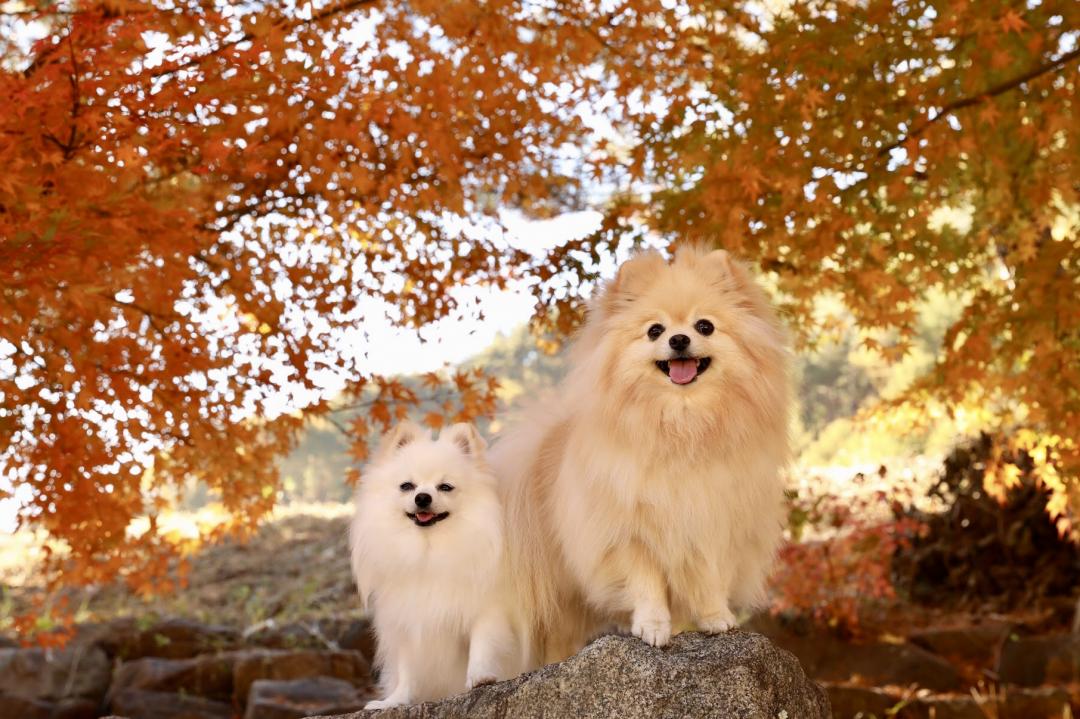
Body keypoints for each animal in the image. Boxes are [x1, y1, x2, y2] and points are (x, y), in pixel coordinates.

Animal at [349, 421, 527, 703]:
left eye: (445, 487)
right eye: (407, 486)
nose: (422, 497)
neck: (429, 553)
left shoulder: (487, 609)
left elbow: (482, 644)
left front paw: (479, 677)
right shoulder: (408, 621)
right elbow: (408, 668)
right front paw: (396, 700)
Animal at [494, 246, 790, 660]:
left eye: (705, 327)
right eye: (655, 331)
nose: (679, 339)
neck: (683, 424)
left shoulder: (712, 519)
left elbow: (709, 578)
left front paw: (716, 617)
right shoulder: (628, 533)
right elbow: (645, 585)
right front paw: (651, 626)